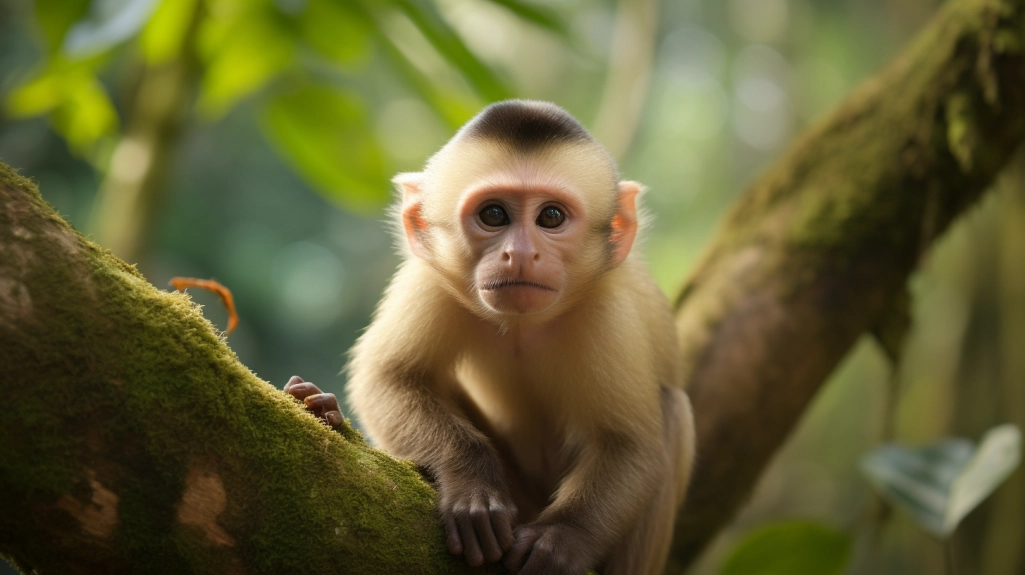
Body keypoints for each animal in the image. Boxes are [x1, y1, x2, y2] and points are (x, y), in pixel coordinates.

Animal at [285, 100, 695, 575]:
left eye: (551, 216)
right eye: (493, 215)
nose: (519, 253)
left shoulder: (606, 311)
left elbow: (630, 444)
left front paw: (561, 540)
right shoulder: (430, 280)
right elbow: (388, 378)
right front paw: (472, 485)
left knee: (671, 409)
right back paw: (323, 409)